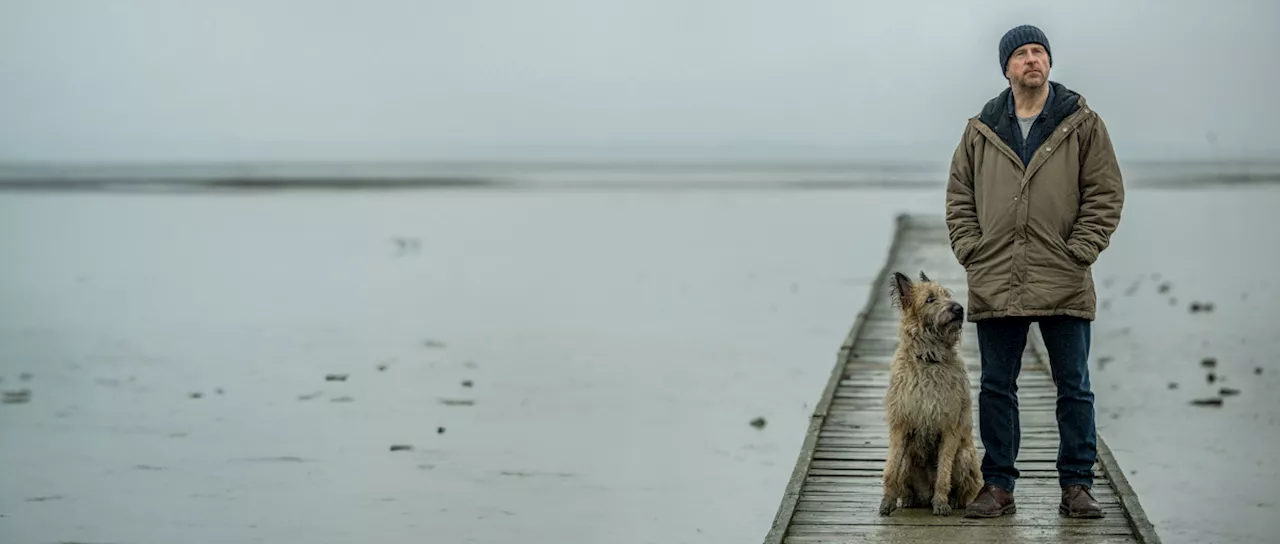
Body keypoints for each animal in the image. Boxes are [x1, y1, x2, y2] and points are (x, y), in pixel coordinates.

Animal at [875, 268, 983, 514]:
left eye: (947, 295)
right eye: (930, 299)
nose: (958, 309)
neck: (929, 359)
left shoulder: (950, 426)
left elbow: (944, 470)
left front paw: (941, 503)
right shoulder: (901, 424)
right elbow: (891, 468)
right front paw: (887, 501)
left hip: (965, 455)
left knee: (964, 488)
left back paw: (953, 501)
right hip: (909, 459)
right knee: (905, 479)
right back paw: (908, 499)